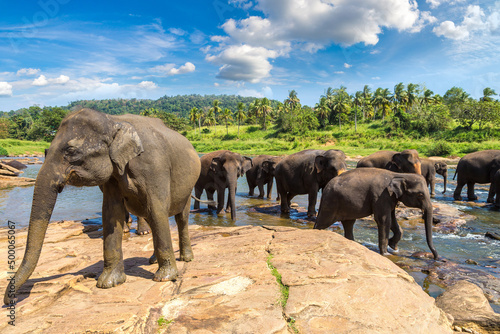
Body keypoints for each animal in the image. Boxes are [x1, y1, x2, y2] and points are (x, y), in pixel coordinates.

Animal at [3, 109, 201, 306]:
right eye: (45, 151)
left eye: (71, 151)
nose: (8, 300)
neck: (114, 121)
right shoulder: (112, 176)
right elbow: (111, 212)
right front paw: (108, 283)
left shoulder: (155, 166)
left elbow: (157, 208)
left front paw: (164, 278)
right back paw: (151, 261)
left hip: (188, 186)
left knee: (180, 218)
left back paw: (186, 258)